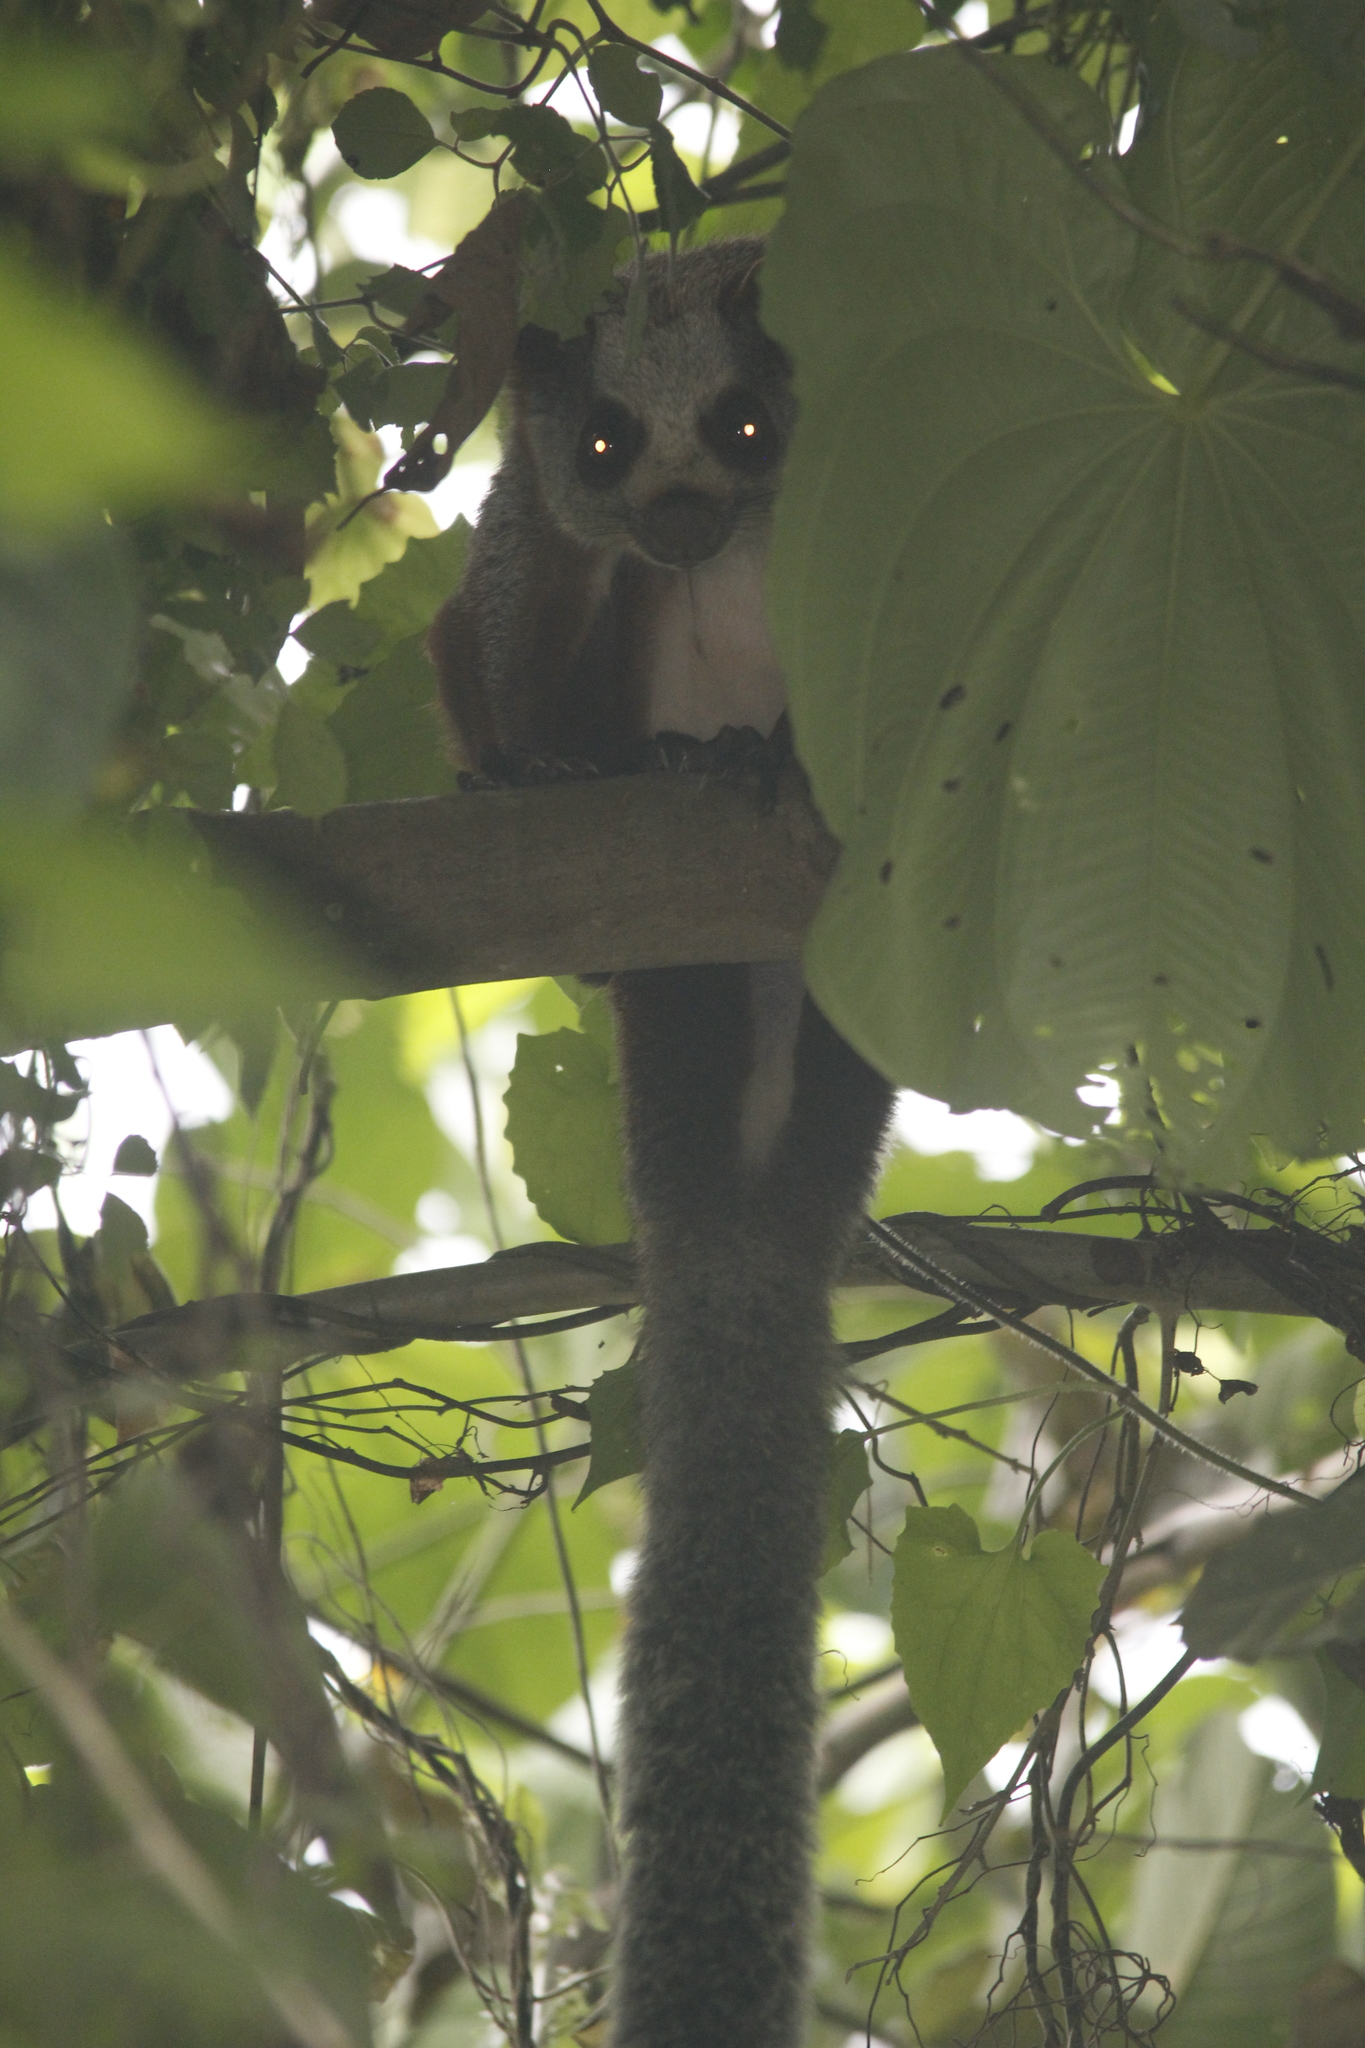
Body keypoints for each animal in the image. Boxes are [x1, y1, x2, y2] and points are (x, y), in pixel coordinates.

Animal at [427, 237, 894, 2048]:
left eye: (751, 422)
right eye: (609, 445)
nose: (685, 517)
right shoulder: (531, 539)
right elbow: (480, 643)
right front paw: (547, 757)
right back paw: (662, 758)